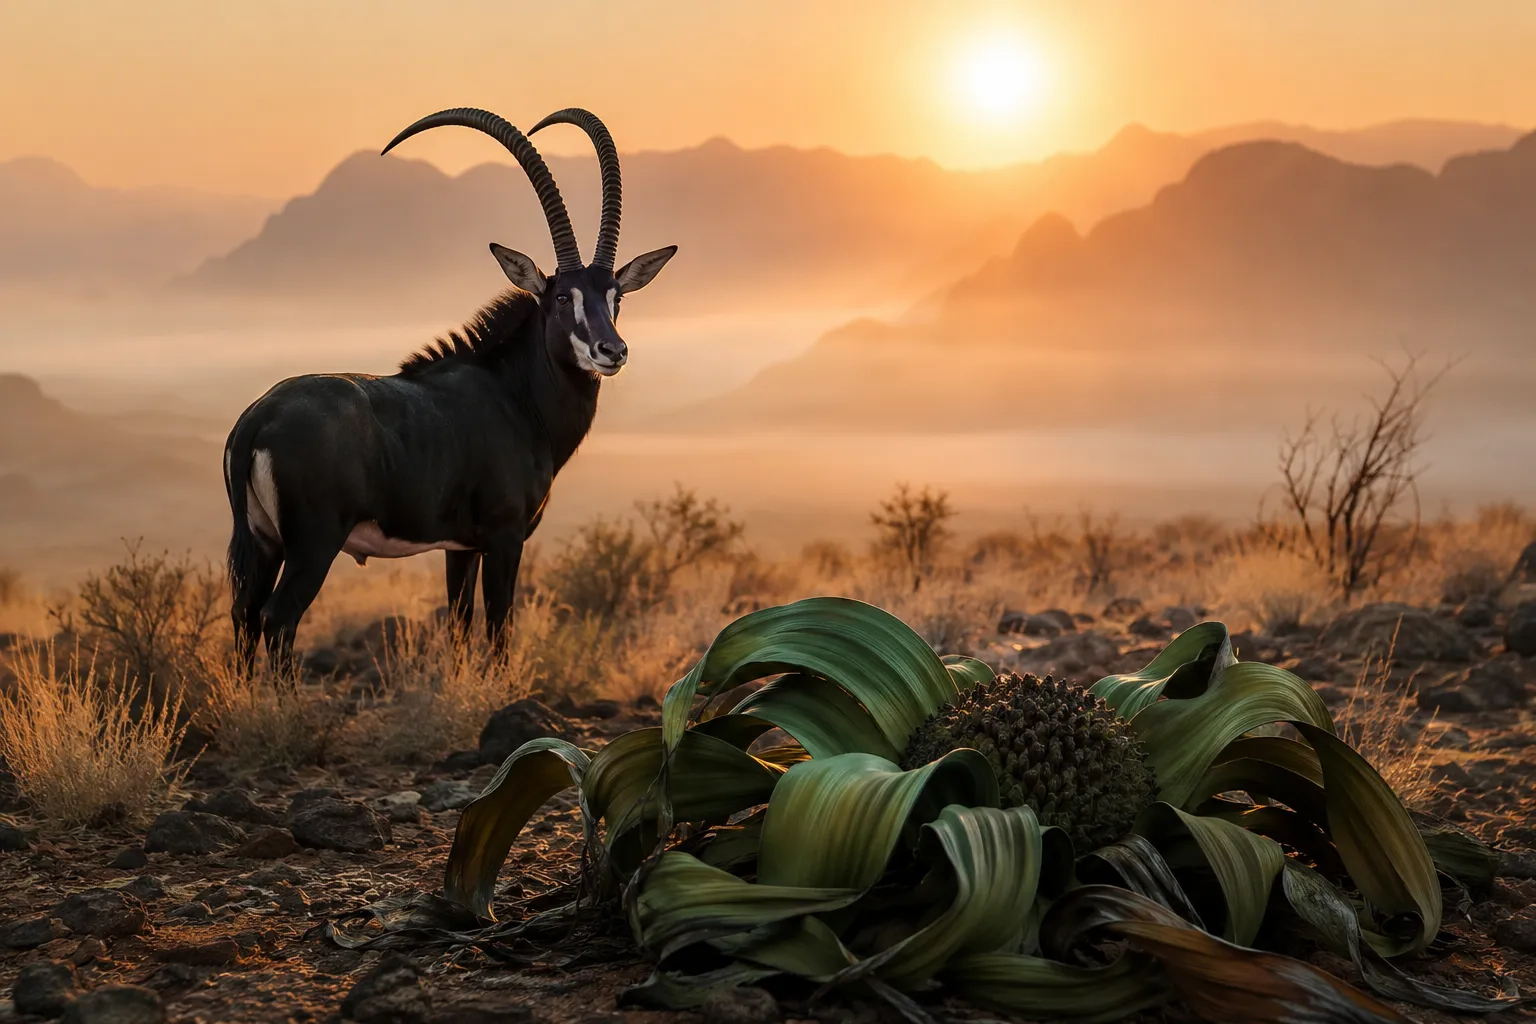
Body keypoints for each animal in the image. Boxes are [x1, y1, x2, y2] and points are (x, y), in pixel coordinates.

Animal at [223, 106, 676, 670]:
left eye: (615, 296)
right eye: (562, 297)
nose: (611, 351)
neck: (513, 393)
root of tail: (257, 419)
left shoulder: (458, 548)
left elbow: (459, 628)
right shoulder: (505, 538)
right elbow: (499, 630)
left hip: (264, 544)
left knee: (245, 617)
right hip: (313, 546)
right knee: (278, 620)